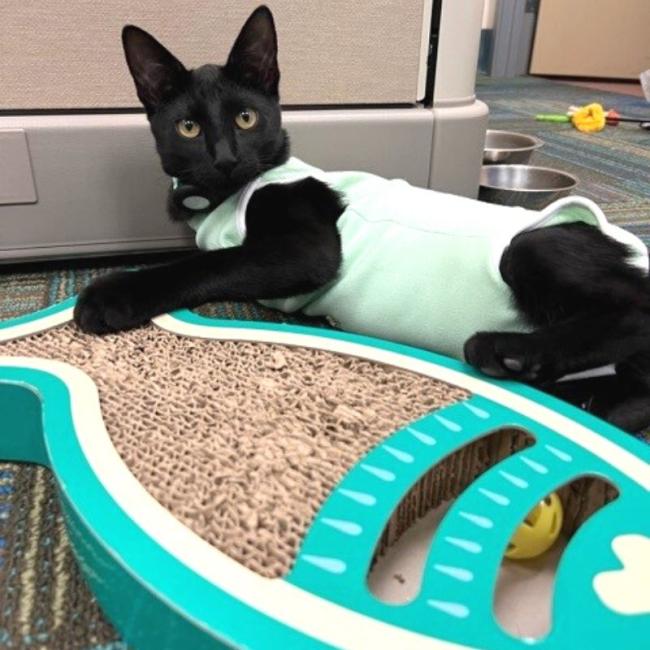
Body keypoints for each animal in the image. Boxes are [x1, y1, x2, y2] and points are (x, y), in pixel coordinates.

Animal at [73, 6, 648, 430]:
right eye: (189, 128)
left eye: (246, 118)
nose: (225, 158)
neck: (223, 199)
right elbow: (197, 256)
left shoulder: (305, 247)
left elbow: (202, 264)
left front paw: (112, 293)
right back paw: (590, 400)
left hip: (530, 246)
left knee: (634, 311)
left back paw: (506, 351)